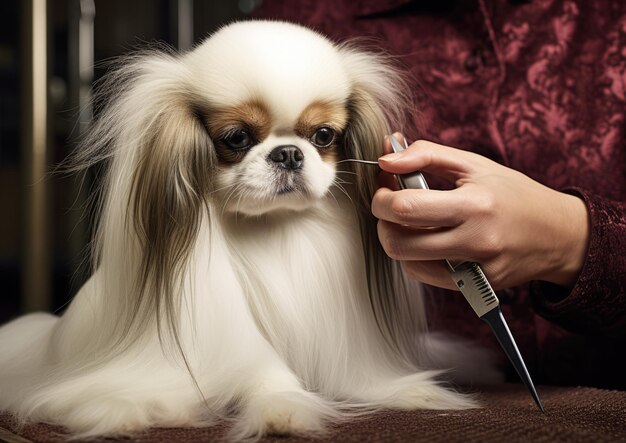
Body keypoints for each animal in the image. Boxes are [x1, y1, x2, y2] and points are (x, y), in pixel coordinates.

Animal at [0, 20, 498, 440]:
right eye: (237, 138)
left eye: (323, 135)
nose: (288, 154)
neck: (273, 229)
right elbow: (263, 373)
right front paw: (284, 407)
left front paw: (409, 390)